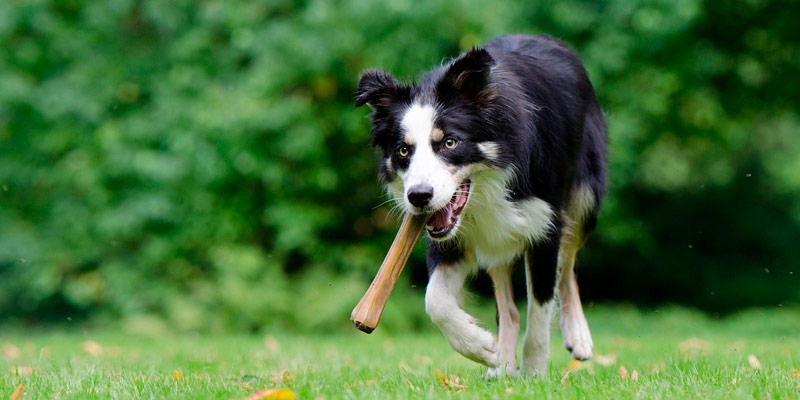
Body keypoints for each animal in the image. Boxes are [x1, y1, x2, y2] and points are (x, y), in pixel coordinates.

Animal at [354, 33, 608, 376]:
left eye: (450, 142)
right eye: (403, 150)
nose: (418, 197)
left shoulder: (545, 224)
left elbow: (540, 311)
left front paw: (535, 374)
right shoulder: (450, 238)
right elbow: (434, 300)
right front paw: (481, 347)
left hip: (584, 197)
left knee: (567, 265)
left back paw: (577, 336)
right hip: (495, 239)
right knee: (509, 305)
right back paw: (502, 364)